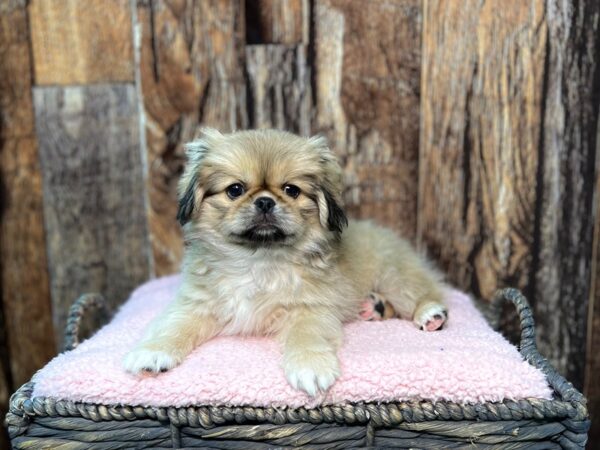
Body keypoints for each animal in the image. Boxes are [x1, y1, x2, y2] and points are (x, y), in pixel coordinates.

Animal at [124, 128, 448, 396]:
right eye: (235, 190)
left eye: (291, 190)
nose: (265, 201)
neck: (259, 258)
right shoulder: (197, 305)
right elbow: (172, 327)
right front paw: (151, 353)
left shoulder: (310, 309)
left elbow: (306, 337)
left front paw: (310, 367)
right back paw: (374, 307)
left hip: (395, 277)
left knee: (424, 293)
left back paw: (430, 315)